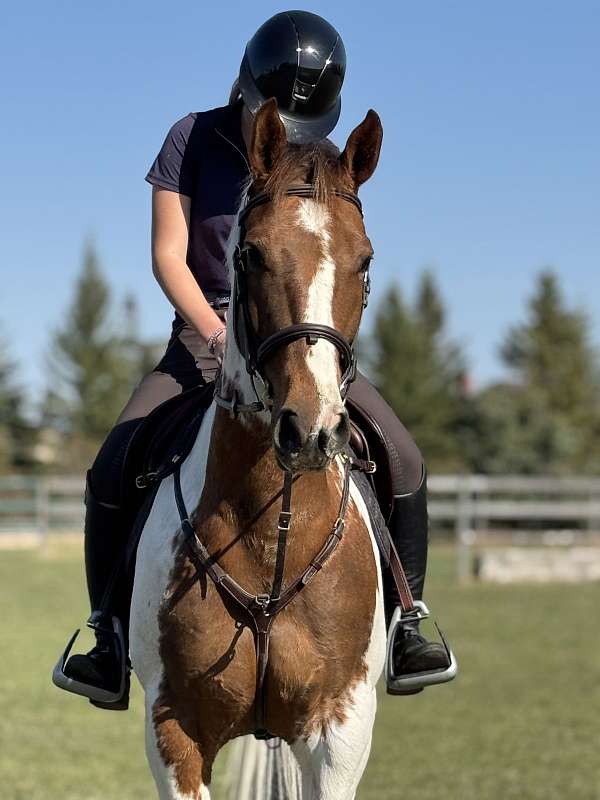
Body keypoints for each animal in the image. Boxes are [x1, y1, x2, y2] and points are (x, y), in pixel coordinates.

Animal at [130, 98, 386, 800]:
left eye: (364, 261)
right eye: (251, 255)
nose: (312, 429)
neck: (272, 535)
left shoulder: (340, 732)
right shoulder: (175, 728)